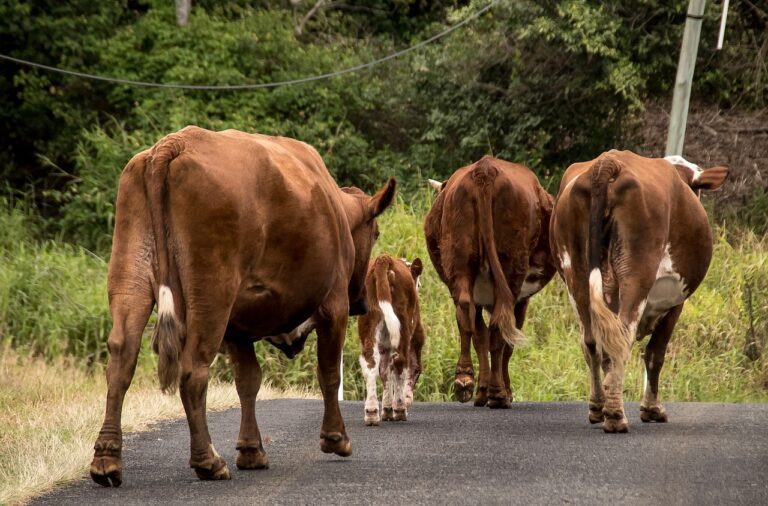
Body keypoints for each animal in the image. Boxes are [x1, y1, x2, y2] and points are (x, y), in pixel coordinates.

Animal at [88, 124, 396, 484]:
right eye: (376, 233)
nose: (361, 300)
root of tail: (174, 143)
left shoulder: (238, 324)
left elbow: (248, 381)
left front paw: (251, 451)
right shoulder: (333, 305)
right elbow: (329, 373)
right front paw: (336, 438)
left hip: (131, 274)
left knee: (122, 358)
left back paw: (106, 460)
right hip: (212, 293)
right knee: (192, 369)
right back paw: (207, 460)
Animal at [356, 255, 424, 424]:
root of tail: (384, 258)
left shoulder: (384, 346)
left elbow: (385, 371)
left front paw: (386, 410)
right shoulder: (416, 337)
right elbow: (412, 368)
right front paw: (400, 404)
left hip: (369, 320)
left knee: (370, 361)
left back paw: (371, 412)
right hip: (403, 323)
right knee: (401, 360)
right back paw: (400, 410)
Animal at [424, 156, 556, 410]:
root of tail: (484, 169)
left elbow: (479, 336)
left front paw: (481, 391)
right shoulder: (522, 300)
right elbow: (505, 343)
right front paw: (504, 391)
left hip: (459, 257)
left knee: (466, 309)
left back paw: (464, 380)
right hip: (511, 268)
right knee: (499, 327)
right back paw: (497, 394)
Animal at [552, 148, 728, 432]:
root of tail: (608, 162)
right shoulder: (675, 304)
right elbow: (656, 353)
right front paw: (652, 408)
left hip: (576, 274)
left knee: (592, 342)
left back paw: (598, 407)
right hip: (636, 275)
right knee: (622, 335)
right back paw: (615, 416)